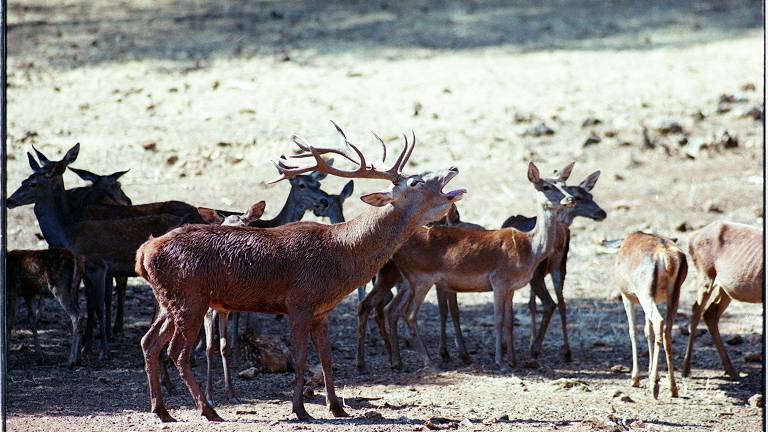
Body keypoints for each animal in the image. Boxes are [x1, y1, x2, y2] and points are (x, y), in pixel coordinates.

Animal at [7, 145, 189, 362]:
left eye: (33, 184)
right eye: (23, 180)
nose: (9, 200)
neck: (68, 233)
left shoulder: (98, 266)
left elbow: (100, 306)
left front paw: (103, 351)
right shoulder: (86, 271)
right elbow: (91, 305)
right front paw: (86, 348)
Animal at [135, 122, 464, 422]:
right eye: (415, 182)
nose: (453, 167)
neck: (342, 257)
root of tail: (144, 252)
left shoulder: (322, 310)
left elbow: (328, 359)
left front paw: (337, 407)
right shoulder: (299, 302)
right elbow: (302, 359)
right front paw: (300, 409)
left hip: (169, 300)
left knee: (149, 343)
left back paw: (162, 410)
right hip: (189, 297)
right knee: (176, 351)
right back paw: (207, 410)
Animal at [608, 233, 688, 398]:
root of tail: (667, 257)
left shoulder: (627, 297)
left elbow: (633, 331)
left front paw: (635, 378)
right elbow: (647, 331)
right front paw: (653, 372)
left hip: (644, 293)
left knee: (659, 322)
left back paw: (654, 387)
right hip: (674, 295)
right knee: (667, 329)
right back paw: (672, 388)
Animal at [680, 223, 764, 378]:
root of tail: (692, 237)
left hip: (726, 287)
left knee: (710, 313)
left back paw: (730, 370)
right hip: (706, 274)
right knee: (696, 312)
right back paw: (685, 370)